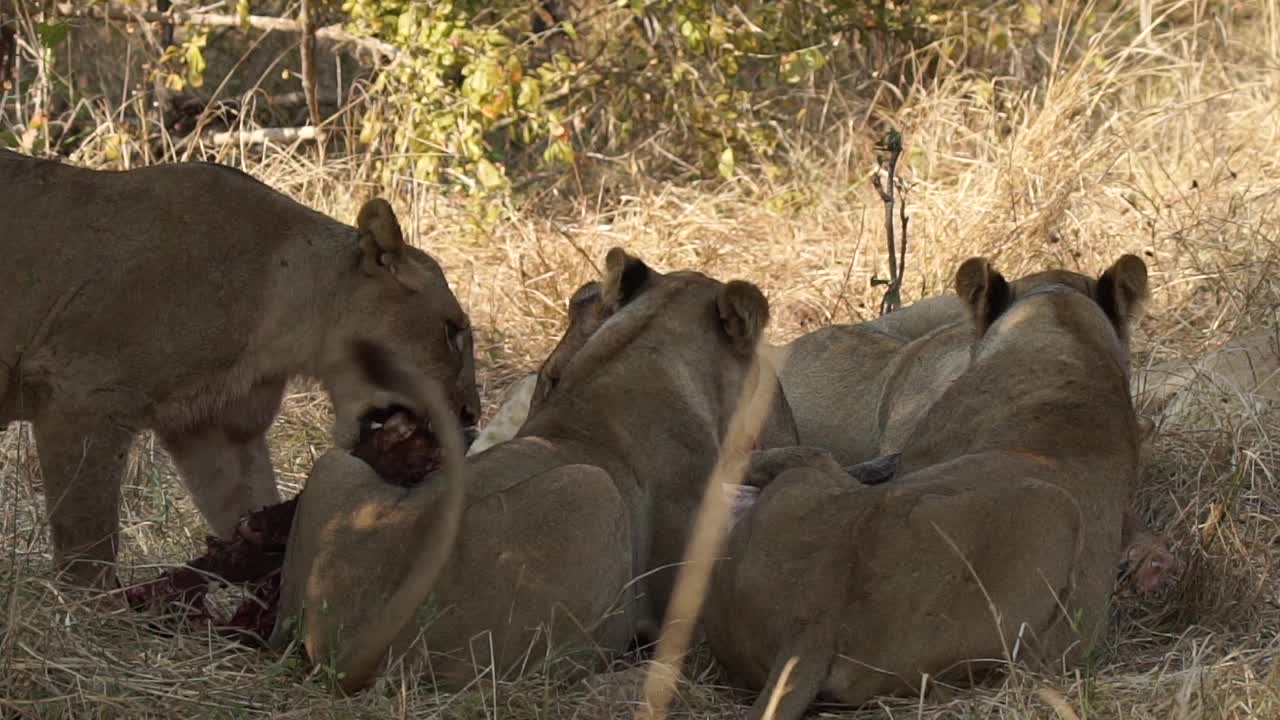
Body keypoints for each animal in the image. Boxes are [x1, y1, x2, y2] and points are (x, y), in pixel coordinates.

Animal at [0, 148, 481, 586]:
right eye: (452, 331)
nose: (472, 415)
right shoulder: (79, 393)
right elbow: (87, 537)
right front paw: (98, 612)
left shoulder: (215, 429)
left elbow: (249, 503)